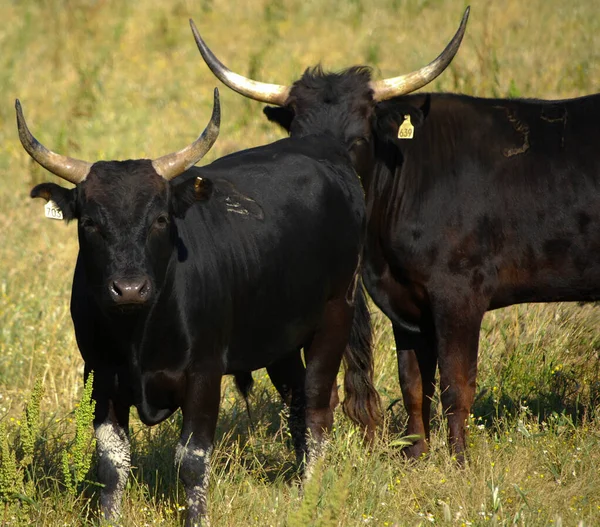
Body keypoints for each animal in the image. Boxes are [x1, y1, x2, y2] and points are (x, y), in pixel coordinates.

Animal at [17, 88, 380, 524]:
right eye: (90, 223)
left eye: (159, 219)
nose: (129, 289)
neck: (139, 332)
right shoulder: (100, 374)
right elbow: (112, 462)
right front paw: (110, 516)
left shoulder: (204, 375)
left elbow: (192, 459)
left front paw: (197, 517)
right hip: (281, 339)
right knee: (296, 403)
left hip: (335, 315)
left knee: (316, 408)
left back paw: (309, 492)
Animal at [191, 7, 600, 462]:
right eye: (299, 139)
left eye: (358, 139)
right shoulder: (405, 305)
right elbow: (414, 385)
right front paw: (416, 455)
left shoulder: (460, 296)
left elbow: (456, 385)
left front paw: (459, 461)